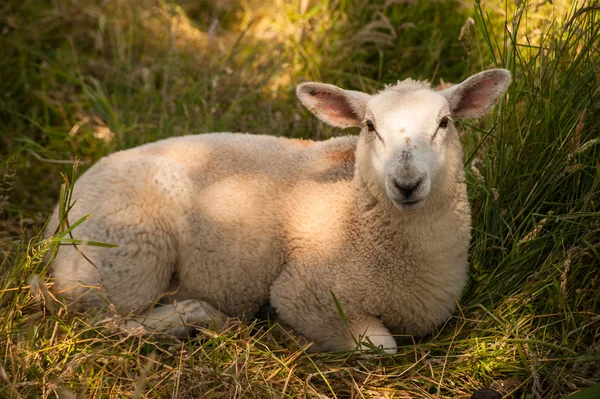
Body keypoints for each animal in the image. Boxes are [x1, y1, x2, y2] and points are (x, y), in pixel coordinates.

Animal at [48, 69, 510, 356]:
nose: (407, 183)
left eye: (445, 123)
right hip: (127, 256)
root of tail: (55, 223)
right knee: (105, 322)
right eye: (370, 126)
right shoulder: (302, 292)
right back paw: (201, 316)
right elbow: (381, 346)